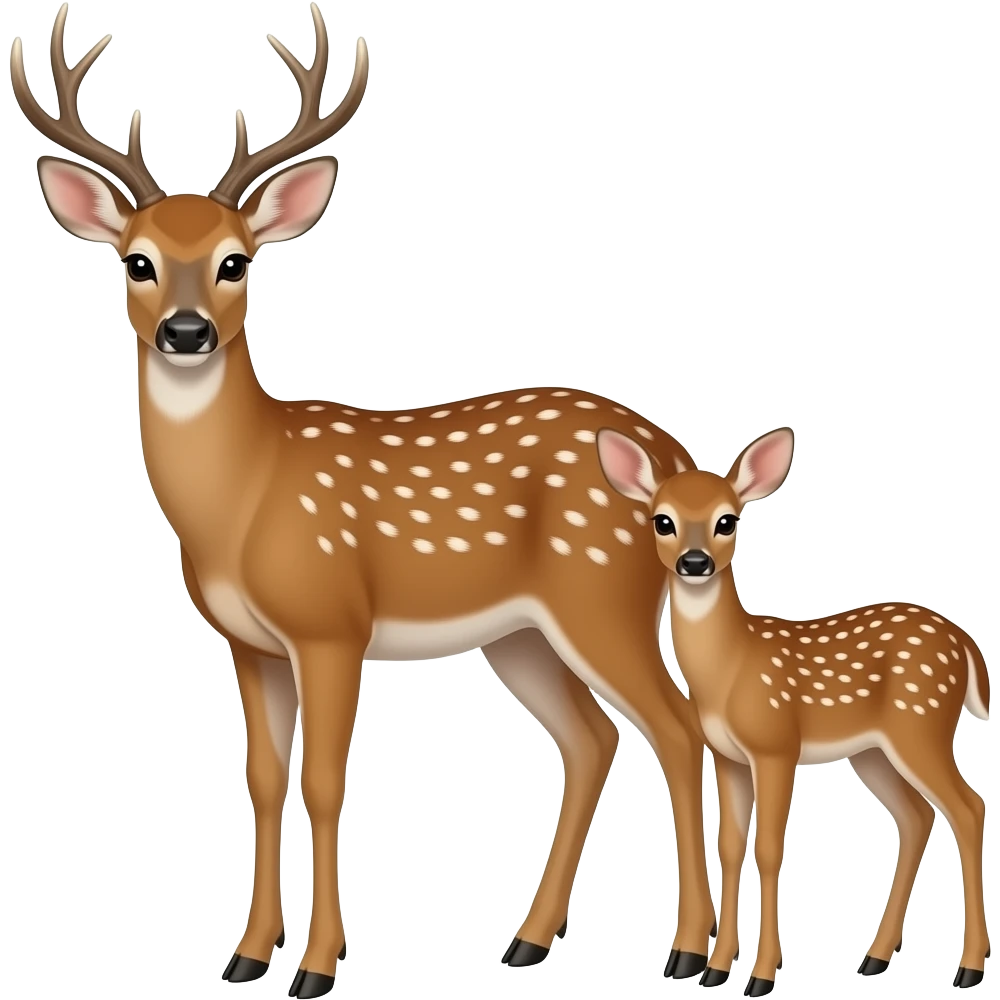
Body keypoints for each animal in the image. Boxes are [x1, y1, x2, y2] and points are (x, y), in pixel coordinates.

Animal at [10, 5, 721, 994]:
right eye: (138, 261)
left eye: (236, 263)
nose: (186, 333)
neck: (245, 497)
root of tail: (672, 458)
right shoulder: (249, 642)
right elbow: (263, 777)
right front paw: (245, 955)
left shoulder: (330, 622)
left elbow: (323, 780)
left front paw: (316, 964)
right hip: (521, 634)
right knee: (591, 740)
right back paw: (527, 940)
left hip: (602, 597)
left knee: (677, 730)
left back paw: (689, 952)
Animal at [596, 424, 992, 995]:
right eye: (662, 520)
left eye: (727, 519)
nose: (695, 562)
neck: (731, 668)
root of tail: (965, 644)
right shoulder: (728, 756)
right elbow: (730, 845)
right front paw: (716, 970)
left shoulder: (776, 745)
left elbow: (767, 848)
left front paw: (761, 976)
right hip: (874, 752)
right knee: (916, 817)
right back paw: (875, 957)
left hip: (922, 724)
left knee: (968, 807)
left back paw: (969, 967)